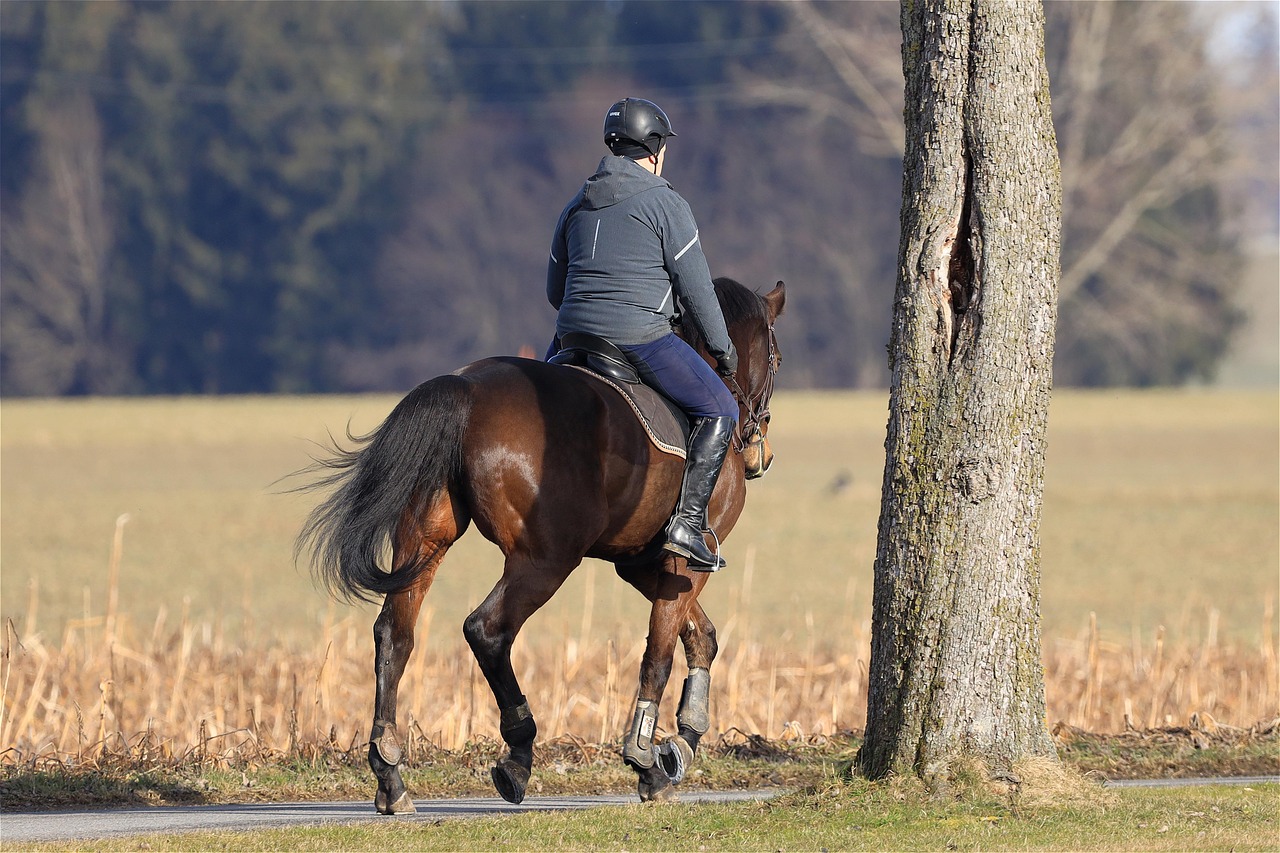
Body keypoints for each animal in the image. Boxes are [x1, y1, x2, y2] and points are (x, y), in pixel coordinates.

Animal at [295, 275, 783, 809]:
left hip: (425, 540)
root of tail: (466, 388)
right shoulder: (683, 562)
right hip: (546, 561)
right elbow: (661, 650)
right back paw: (518, 754)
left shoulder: (639, 563)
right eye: (777, 359)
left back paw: (389, 771)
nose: (762, 456)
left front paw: (683, 741)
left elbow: (701, 637)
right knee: (487, 630)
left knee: (394, 633)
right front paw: (649, 757)